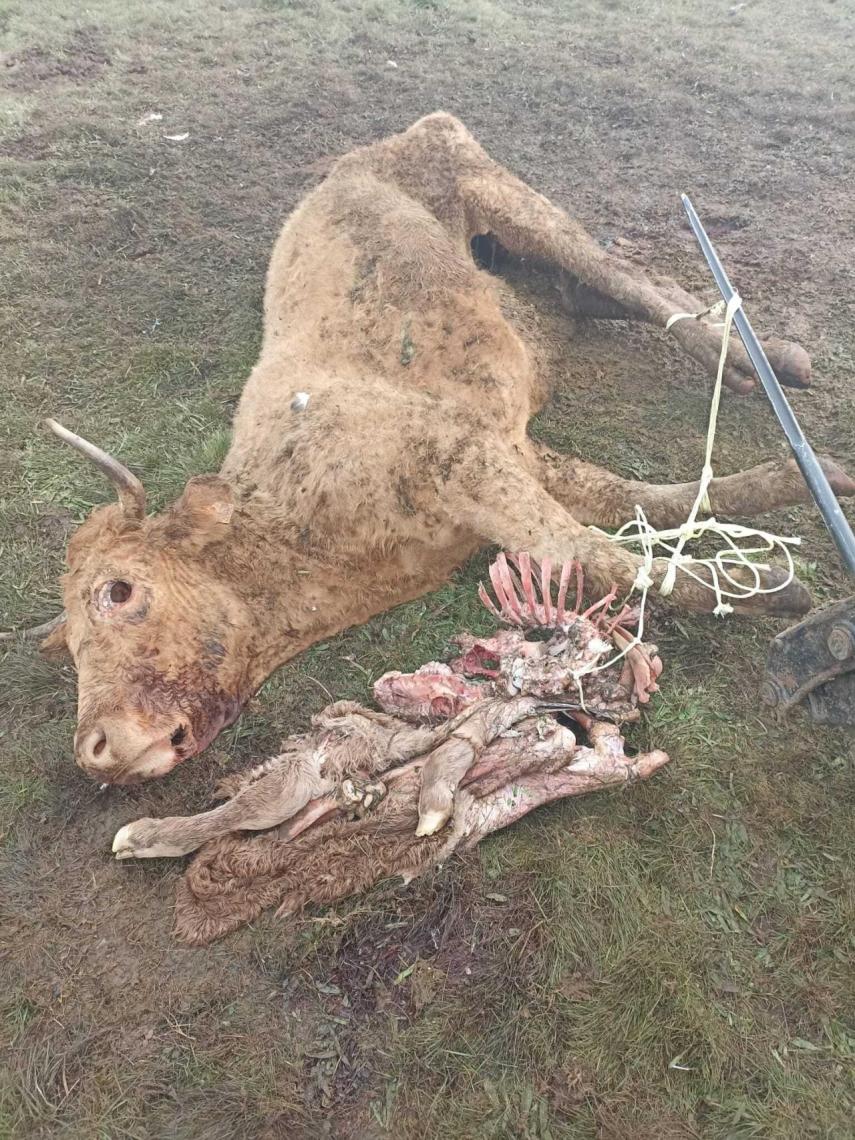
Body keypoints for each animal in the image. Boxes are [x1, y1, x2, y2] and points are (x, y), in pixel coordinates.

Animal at [13, 112, 853, 784]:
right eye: (71, 647)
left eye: (119, 591)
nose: (96, 749)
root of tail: (400, 135)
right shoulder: (512, 454)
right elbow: (634, 503)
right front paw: (802, 485)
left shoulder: (464, 458)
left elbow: (592, 552)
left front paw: (774, 588)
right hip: (532, 278)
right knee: (608, 293)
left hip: (520, 206)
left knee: (630, 279)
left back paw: (771, 360)